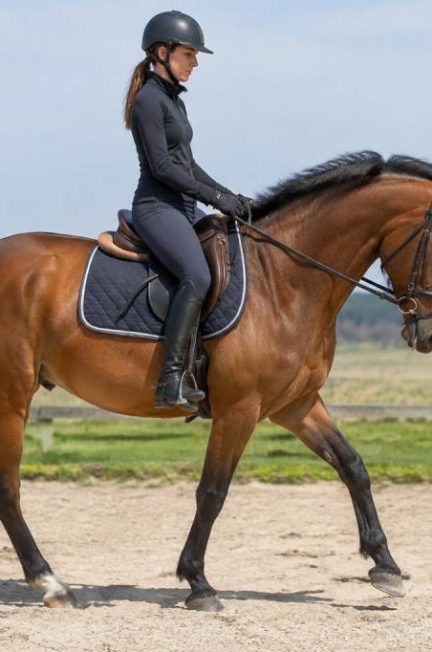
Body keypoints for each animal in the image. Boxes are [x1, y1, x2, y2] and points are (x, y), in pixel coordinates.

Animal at [0, 151, 431, 611]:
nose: (425, 336)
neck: (282, 280)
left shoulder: (297, 405)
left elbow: (353, 466)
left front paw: (386, 566)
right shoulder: (239, 409)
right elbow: (212, 492)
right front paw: (198, 582)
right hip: (12, 397)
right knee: (9, 488)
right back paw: (50, 582)